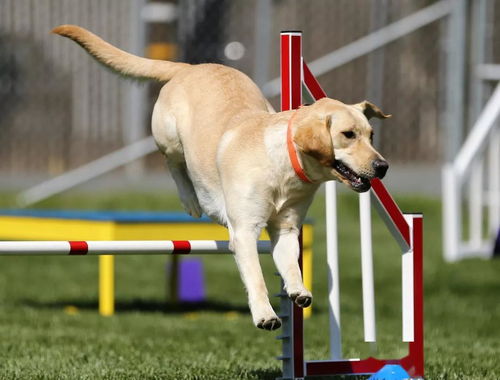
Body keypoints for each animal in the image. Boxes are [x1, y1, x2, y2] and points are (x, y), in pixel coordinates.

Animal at [52, 26, 388, 330]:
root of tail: (191, 67)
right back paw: (191, 200)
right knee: (174, 164)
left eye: (371, 135)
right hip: (169, 137)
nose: (382, 166)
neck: (284, 166)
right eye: (348, 134)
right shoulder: (245, 232)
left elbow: (292, 265)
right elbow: (256, 277)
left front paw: (298, 290)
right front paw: (266, 315)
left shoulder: (287, 228)